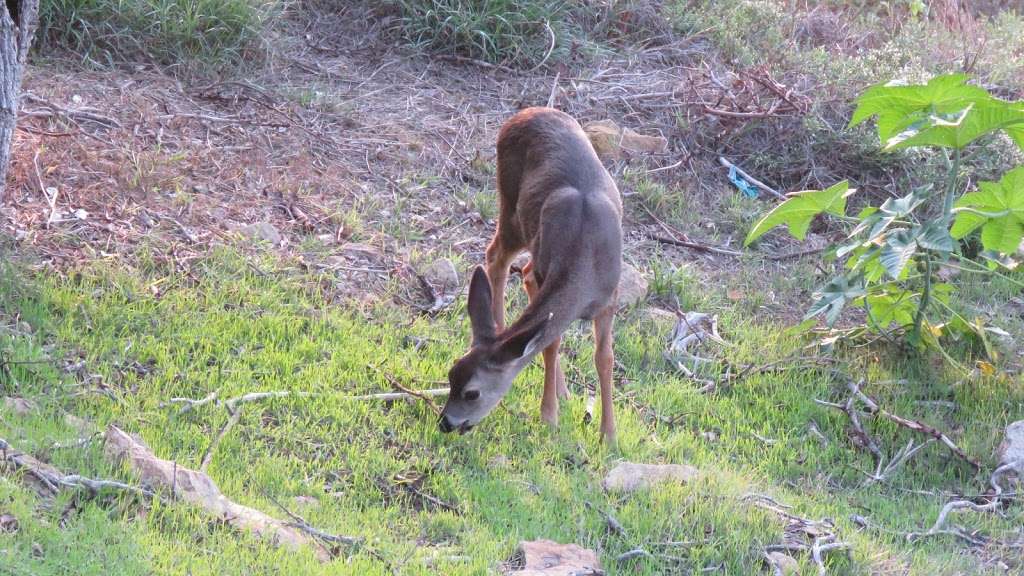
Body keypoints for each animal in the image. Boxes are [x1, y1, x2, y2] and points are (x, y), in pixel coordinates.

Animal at [434, 106, 618, 438]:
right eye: (451, 375)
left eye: (471, 392)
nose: (446, 423)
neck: (586, 260)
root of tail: (524, 113)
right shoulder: (550, 270)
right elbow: (551, 343)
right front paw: (549, 416)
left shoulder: (610, 296)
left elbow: (604, 358)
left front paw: (609, 435)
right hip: (511, 206)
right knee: (498, 256)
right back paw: (499, 325)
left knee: (520, 268)